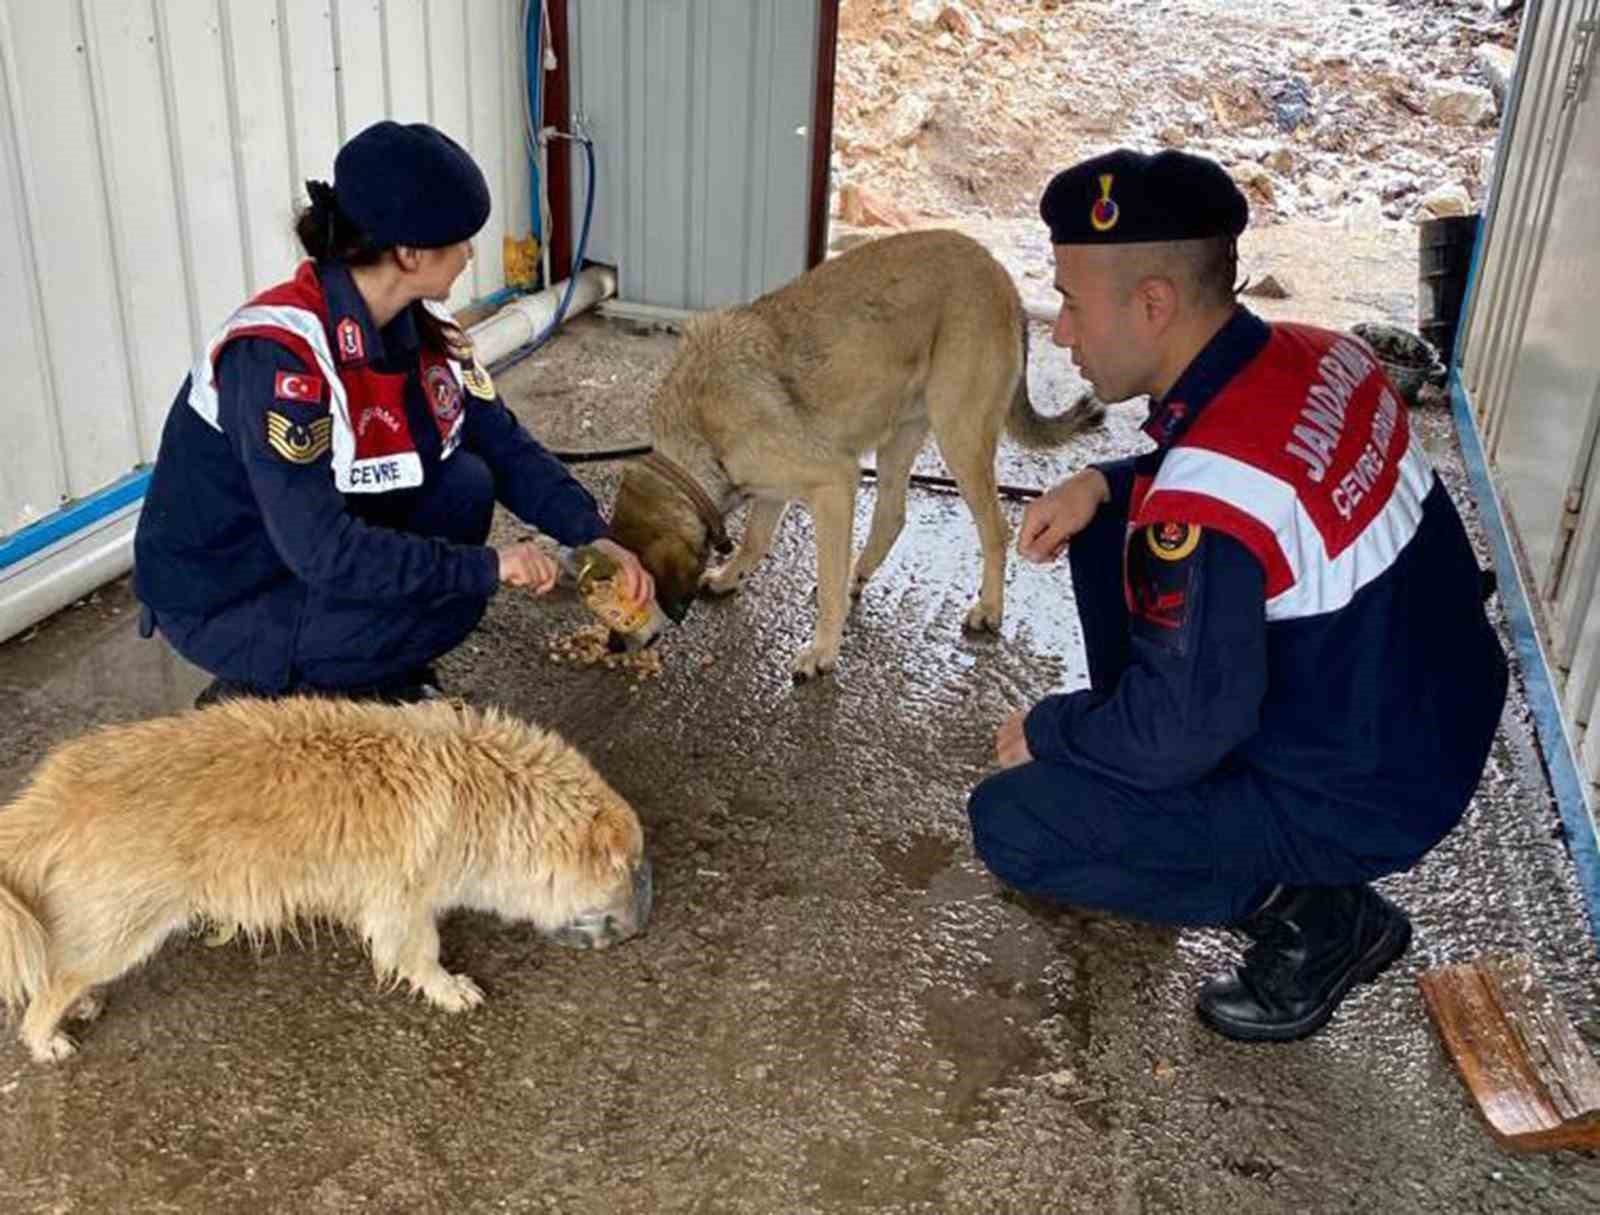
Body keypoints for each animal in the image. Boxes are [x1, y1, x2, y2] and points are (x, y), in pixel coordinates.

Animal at [1, 694, 649, 1062]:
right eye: (631, 873)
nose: (642, 931)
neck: (491, 791)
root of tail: (50, 798)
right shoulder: (401, 903)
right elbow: (421, 953)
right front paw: (447, 989)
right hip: (126, 930)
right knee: (51, 984)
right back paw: (46, 1040)